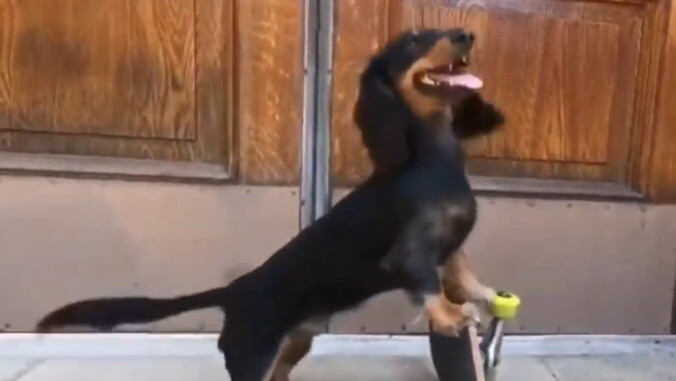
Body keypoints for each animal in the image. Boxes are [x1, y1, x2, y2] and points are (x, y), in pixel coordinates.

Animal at [34, 27, 504, 380]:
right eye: (412, 40)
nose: (466, 34)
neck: (432, 162)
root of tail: (235, 291)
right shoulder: (409, 255)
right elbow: (427, 286)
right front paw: (449, 316)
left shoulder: (451, 248)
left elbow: (464, 276)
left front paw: (484, 295)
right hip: (252, 356)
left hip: (294, 344)